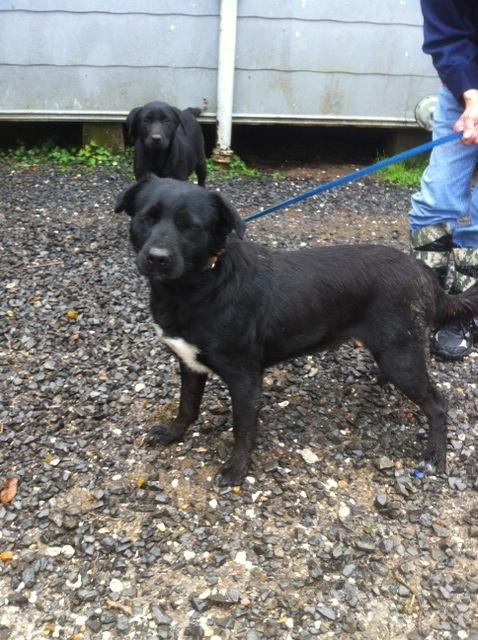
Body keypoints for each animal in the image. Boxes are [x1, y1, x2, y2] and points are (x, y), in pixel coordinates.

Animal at [115, 175, 478, 484]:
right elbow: (187, 406)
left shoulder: (245, 378)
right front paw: (173, 434)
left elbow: (242, 429)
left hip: (401, 359)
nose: (157, 258)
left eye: (190, 227)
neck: (200, 285)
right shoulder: (189, 363)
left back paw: (434, 457)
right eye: (147, 218)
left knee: (438, 404)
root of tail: (423, 273)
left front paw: (236, 469)